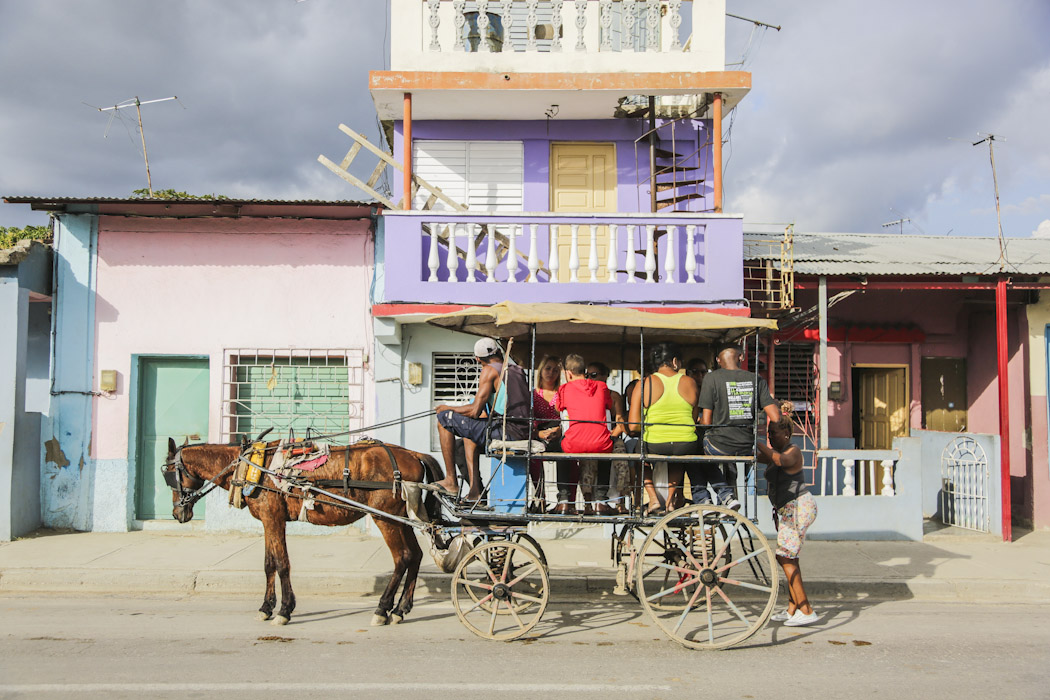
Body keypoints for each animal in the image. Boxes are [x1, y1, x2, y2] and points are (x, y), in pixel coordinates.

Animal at [161, 440, 445, 625]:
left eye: (169, 474)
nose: (177, 513)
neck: (253, 466)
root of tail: (413, 453)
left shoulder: (273, 518)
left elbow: (282, 564)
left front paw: (284, 610)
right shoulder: (269, 520)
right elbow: (269, 564)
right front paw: (266, 607)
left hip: (385, 517)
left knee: (403, 556)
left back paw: (383, 609)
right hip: (400, 517)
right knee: (416, 555)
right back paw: (400, 608)